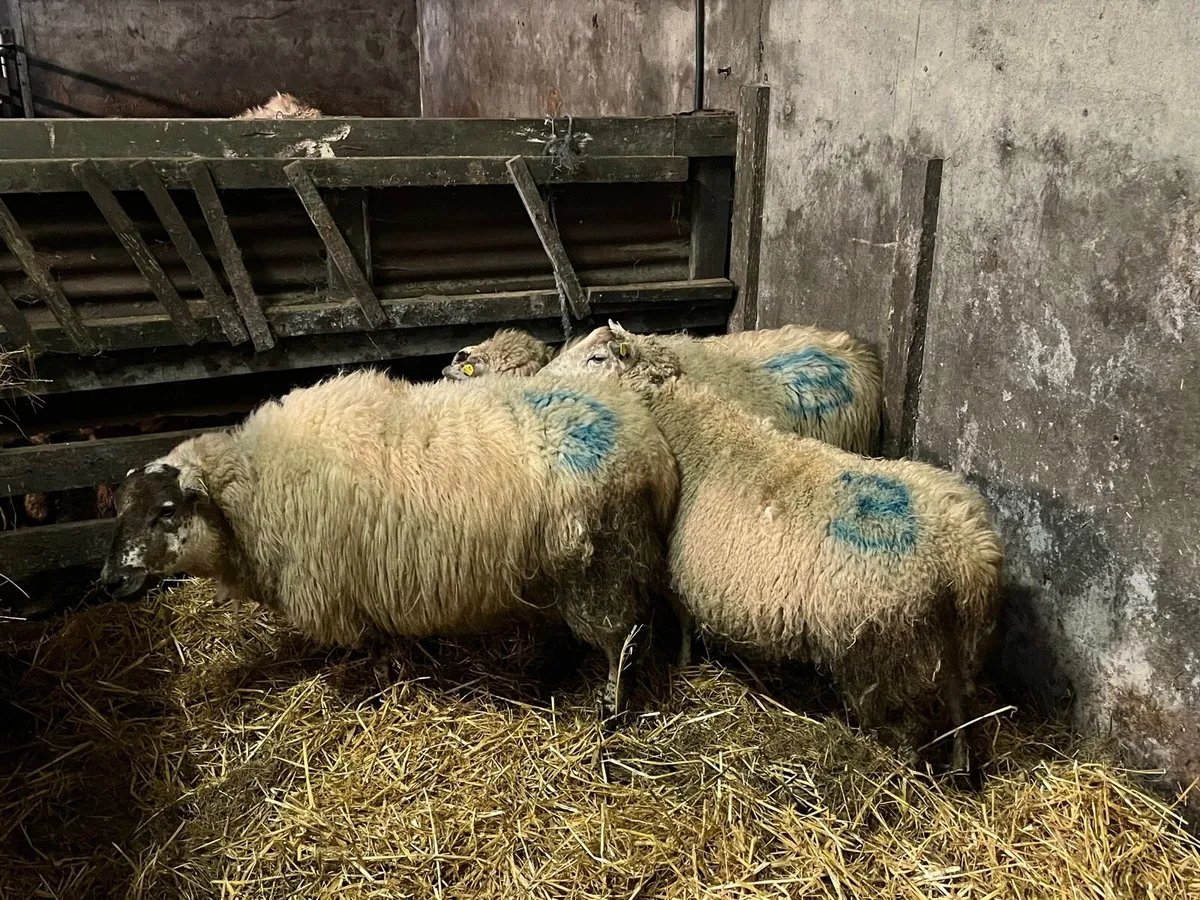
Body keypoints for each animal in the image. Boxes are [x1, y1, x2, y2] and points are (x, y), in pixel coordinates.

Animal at [99, 368, 678, 720]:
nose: (111, 580)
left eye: (166, 511)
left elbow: (375, 649)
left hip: (602, 565)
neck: (256, 483)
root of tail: (649, 443)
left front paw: (378, 687)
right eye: (118, 509)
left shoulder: (347, 586)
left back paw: (610, 710)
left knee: (619, 641)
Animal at [559, 323, 1003, 771]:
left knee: (904, 723)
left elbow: (682, 616)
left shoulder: (675, 563)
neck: (689, 423)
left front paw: (683, 661)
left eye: (597, 358)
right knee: (960, 706)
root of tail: (967, 553)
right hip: (954, 642)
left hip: (886, 649)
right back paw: (960, 766)